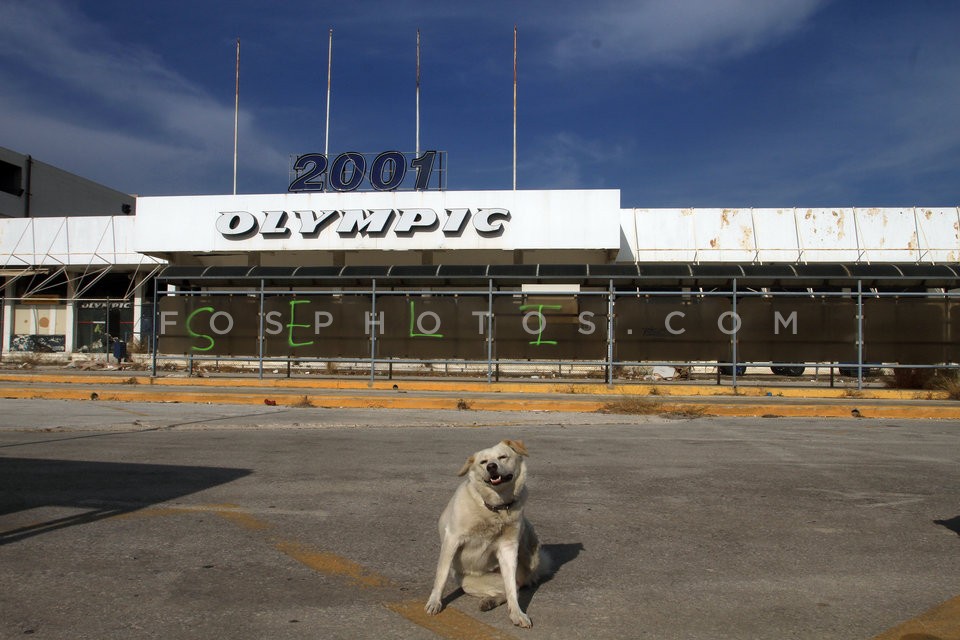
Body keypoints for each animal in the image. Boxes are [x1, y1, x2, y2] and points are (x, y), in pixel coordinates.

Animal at [426, 438, 552, 628]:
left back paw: (491, 601)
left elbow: (511, 590)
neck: (495, 508)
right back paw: (488, 601)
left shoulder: (508, 548)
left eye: (502, 457)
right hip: (468, 582)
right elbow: (441, 575)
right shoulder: (452, 539)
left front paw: (517, 613)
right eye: (483, 462)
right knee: (507, 589)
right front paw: (434, 602)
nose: (491, 466)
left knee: (514, 588)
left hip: (528, 537)